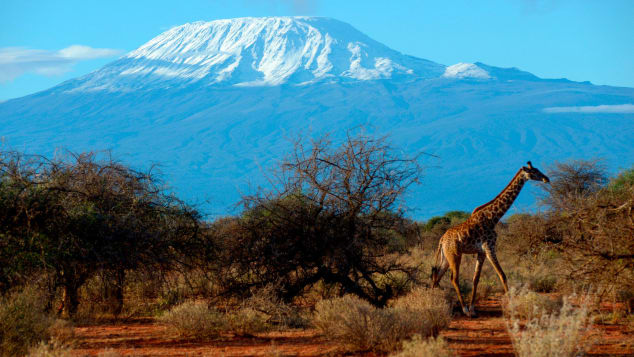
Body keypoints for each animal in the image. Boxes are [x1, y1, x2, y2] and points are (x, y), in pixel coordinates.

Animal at [430, 160, 548, 316]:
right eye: (534, 172)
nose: (547, 179)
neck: (494, 218)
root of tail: (442, 240)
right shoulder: (490, 247)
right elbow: (502, 275)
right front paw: (511, 305)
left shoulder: (481, 252)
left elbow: (476, 279)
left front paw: (473, 308)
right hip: (455, 255)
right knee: (453, 278)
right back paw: (463, 309)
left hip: (446, 257)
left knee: (437, 277)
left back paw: (433, 303)